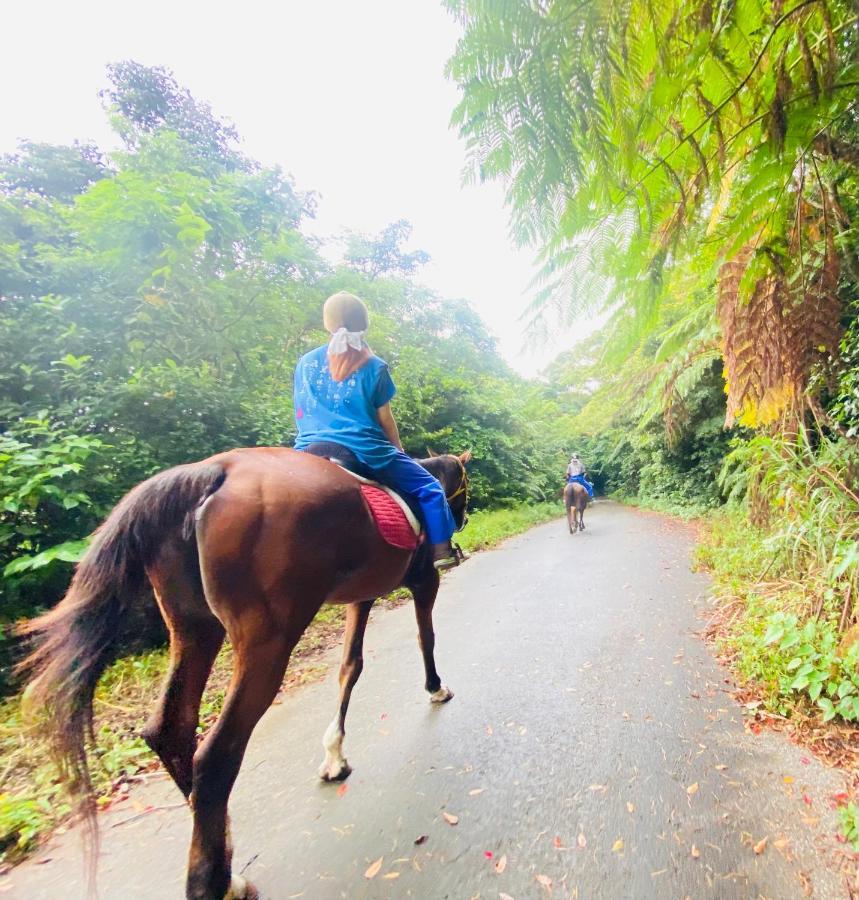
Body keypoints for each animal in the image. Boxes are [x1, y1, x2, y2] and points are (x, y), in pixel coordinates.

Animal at [20, 446, 474, 896]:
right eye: (464, 484)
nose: (462, 521)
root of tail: (211, 472)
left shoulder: (360, 596)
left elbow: (350, 666)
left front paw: (335, 755)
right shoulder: (423, 580)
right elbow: (425, 637)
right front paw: (435, 688)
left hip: (194, 628)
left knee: (170, 730)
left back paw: (225, 863)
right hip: (267, 641)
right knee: (216, 754)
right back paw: (212, 881)